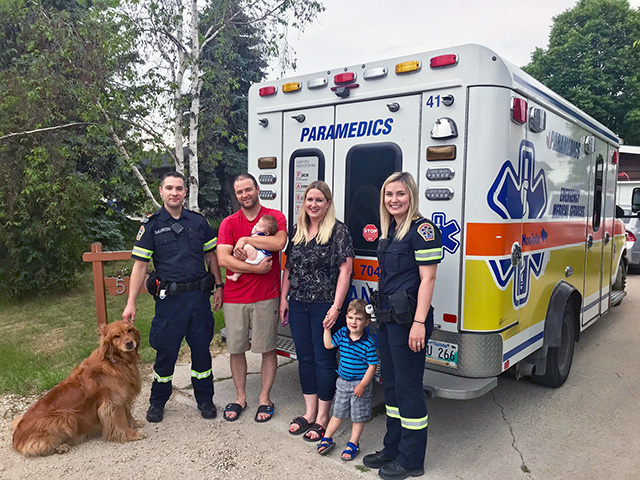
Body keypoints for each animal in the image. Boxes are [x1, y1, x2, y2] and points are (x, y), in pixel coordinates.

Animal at [11, 320, 144, 456]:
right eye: (116, 336)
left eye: (129, 330)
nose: (129, 343)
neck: (115, 361)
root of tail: (16, 439)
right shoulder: (113, 402)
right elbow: (121, 421)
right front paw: (132, 434)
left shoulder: (124, 396)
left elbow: (128, 413)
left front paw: (134, 423)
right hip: (64, 417)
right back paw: (60, 447)